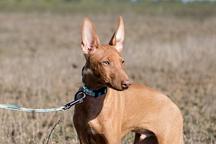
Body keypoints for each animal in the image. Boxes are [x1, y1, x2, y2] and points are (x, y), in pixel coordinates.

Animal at [73, 16, 184, 144]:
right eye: (105, 62)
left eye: (122, 61)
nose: (127, 84)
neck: (95, 96)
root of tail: (174, 106)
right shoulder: (83, 137)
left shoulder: (112, 139)